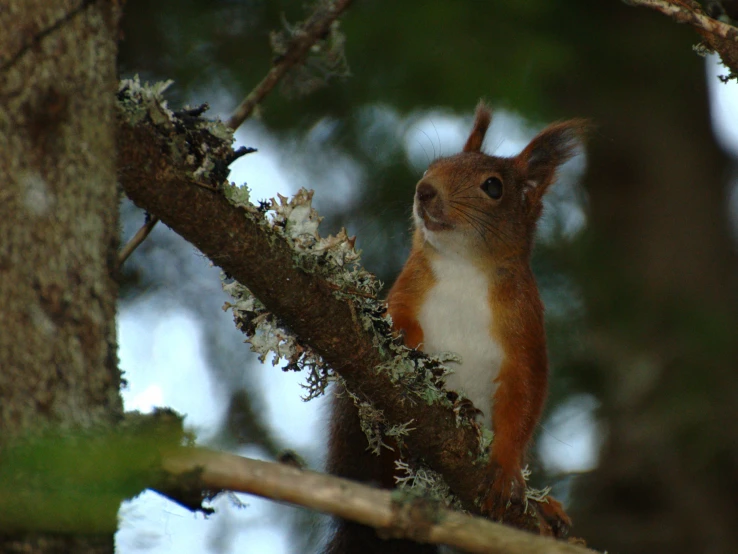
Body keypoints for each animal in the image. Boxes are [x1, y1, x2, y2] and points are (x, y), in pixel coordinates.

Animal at [324, 103, 584, 552]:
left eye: (493, 187)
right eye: (433, 166)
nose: (424, 190)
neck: (464, 266)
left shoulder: (525, 330)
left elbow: (524, 396)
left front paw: (506, 468)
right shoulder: (406, 287)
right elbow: (394, 314)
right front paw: (403, 336)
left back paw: (547, 510)